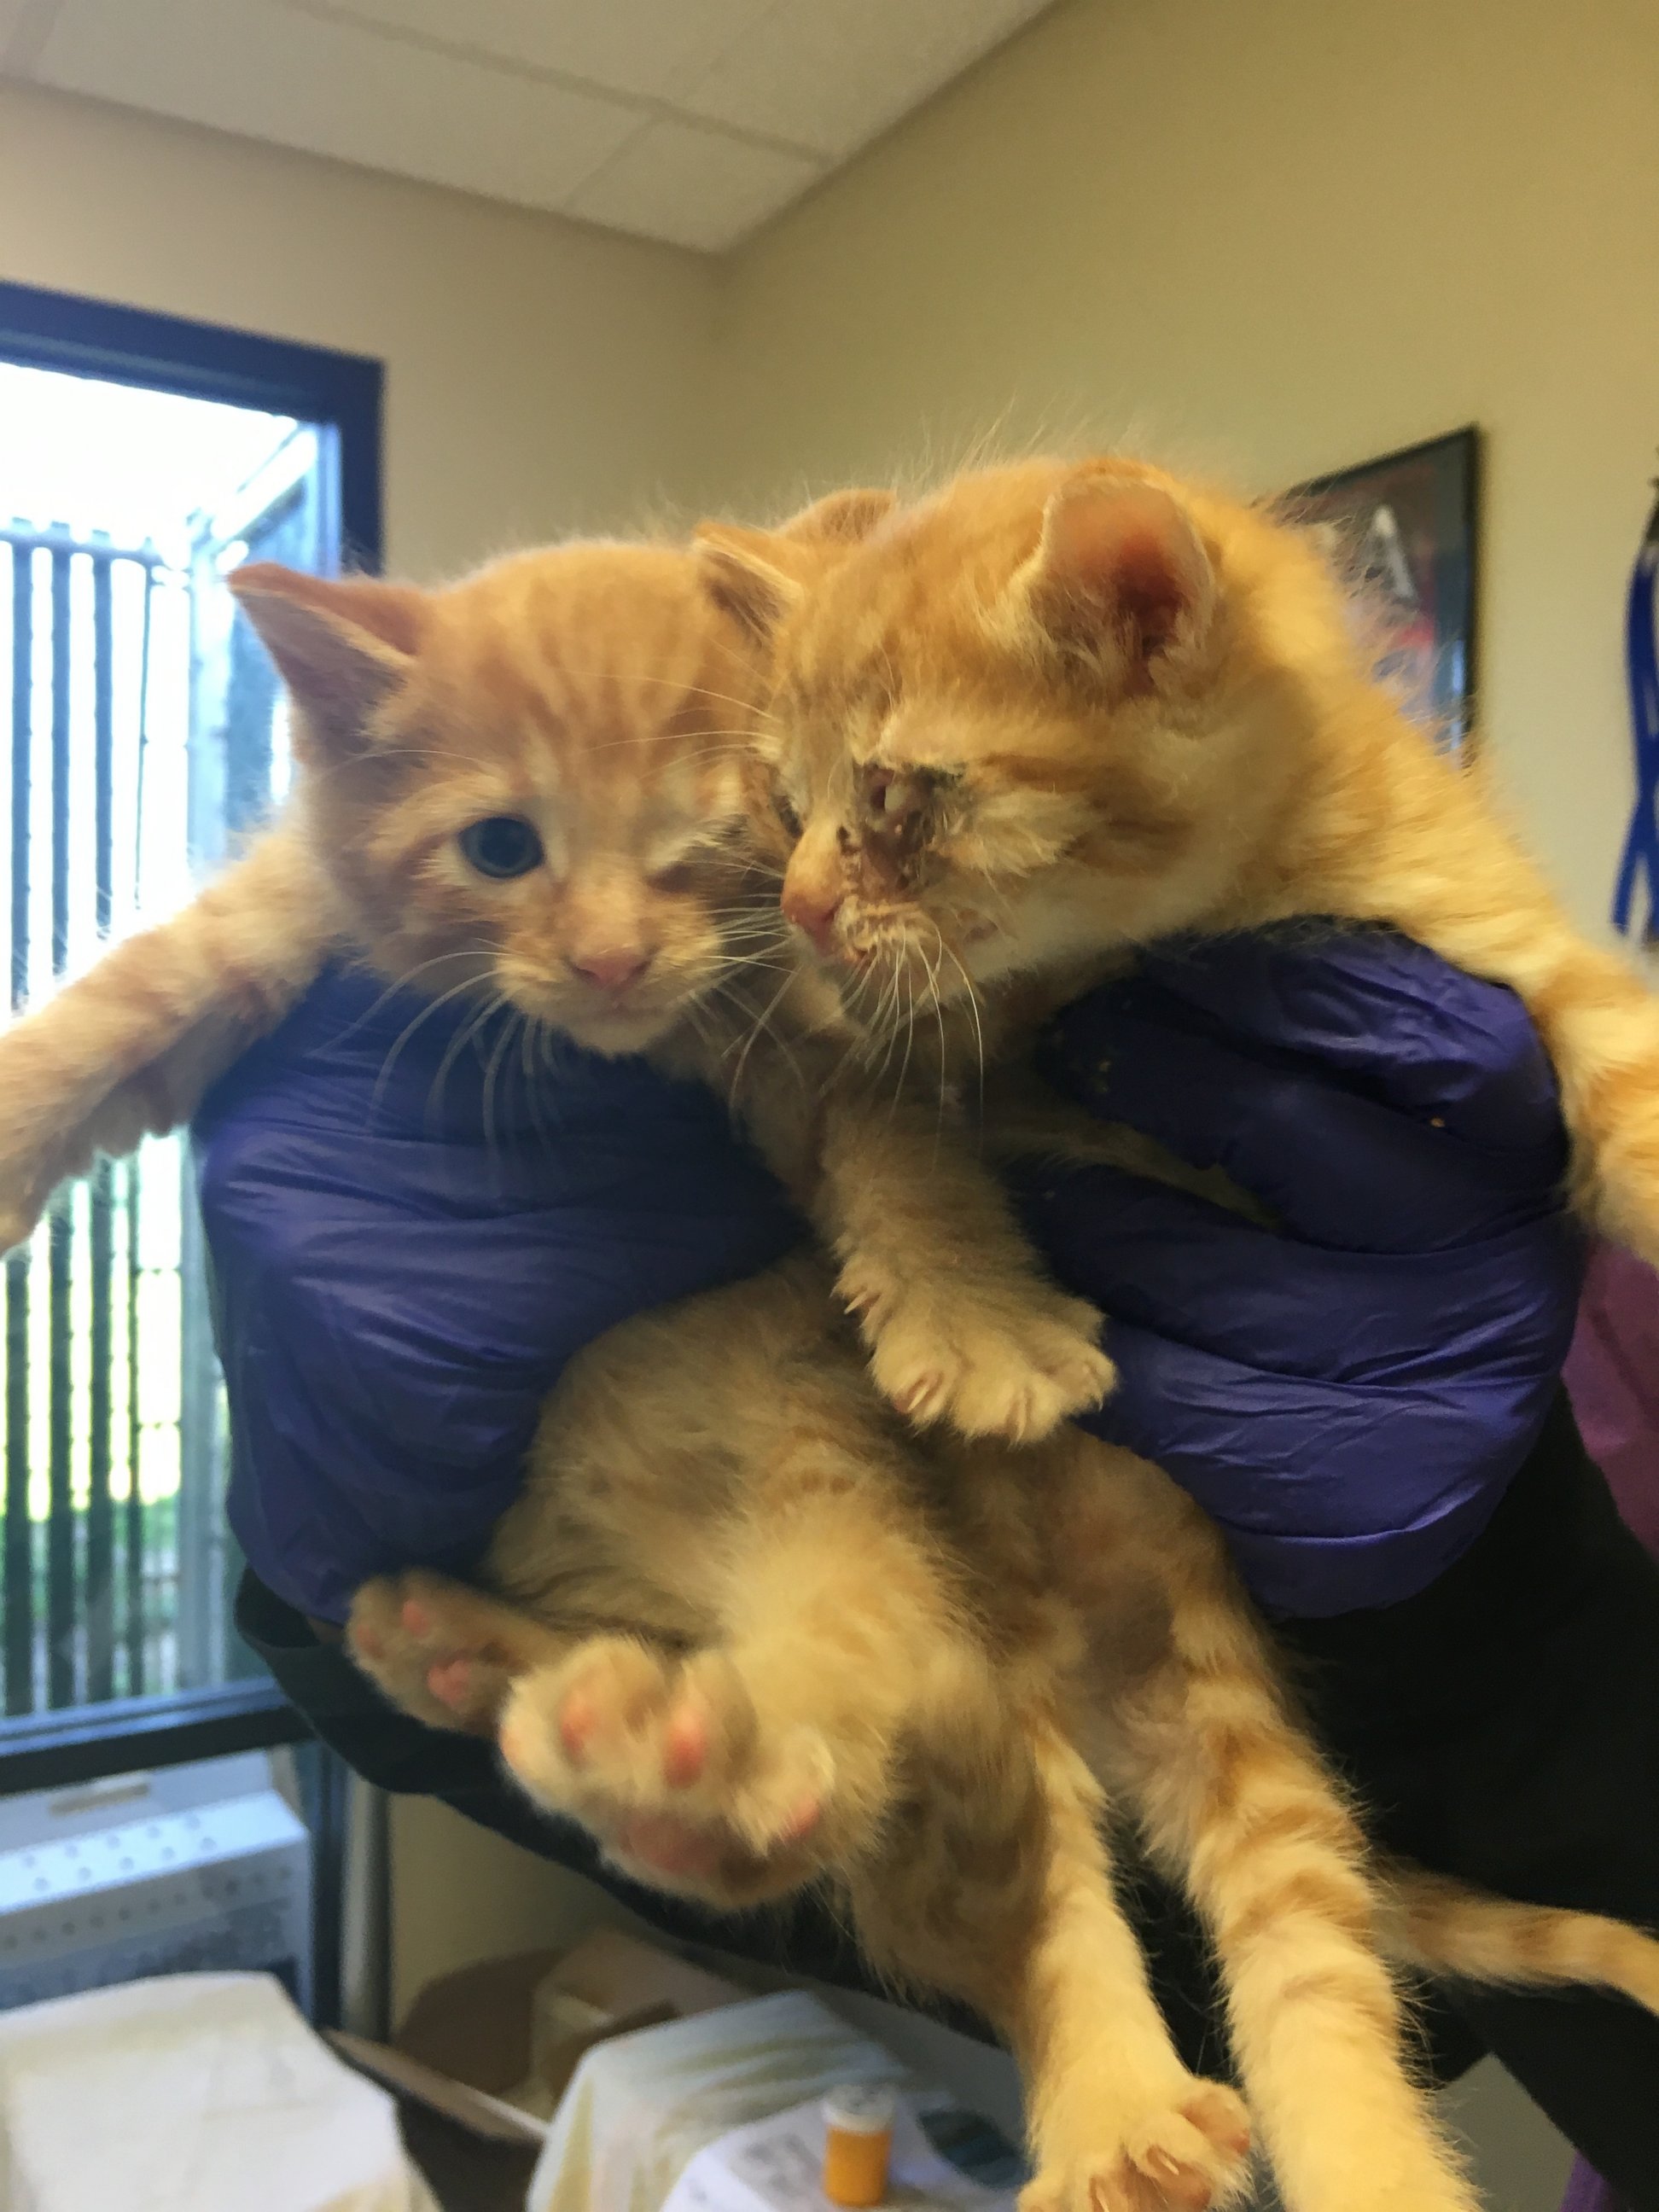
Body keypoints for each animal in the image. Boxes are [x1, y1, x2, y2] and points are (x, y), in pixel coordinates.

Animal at [0, 502, 1654, 2212]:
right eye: (502, 848)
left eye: (711, 840)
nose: (608, 961)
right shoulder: (320, 908)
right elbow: (159, 978)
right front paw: (23, 1109)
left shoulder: (834, 1018)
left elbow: (898, 1142)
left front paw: (974, 1318)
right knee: (961, 1854)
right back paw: (477, 1662)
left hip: (864, 1518)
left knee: (910, 1774)